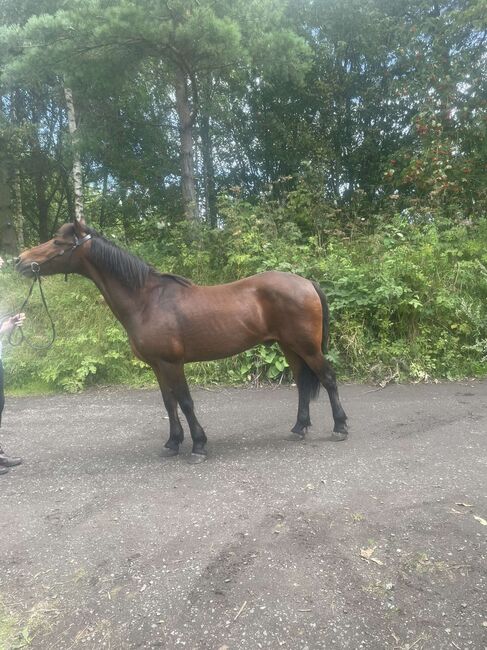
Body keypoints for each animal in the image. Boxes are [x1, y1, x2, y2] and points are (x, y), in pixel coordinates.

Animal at [17, 218, 348, 460]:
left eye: (58, 242)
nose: (19, 261)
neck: (146, 301)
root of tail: (306, 282)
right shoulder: (157, 365)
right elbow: (169, 403)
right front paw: (173, 443)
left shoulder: (172, 362)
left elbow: (186, 402)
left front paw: (198, 445)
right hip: (289, 347)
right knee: (303, 383)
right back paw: (299, 428)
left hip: (307, 346)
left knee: (328, 378)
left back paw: (340, 427)